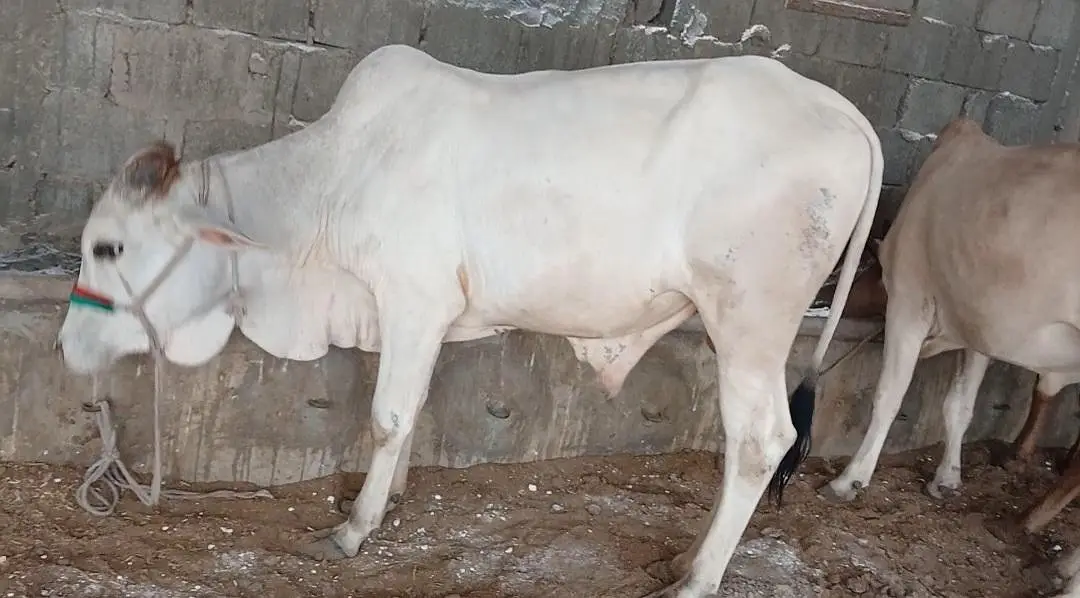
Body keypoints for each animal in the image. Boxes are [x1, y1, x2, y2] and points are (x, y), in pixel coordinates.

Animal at [55, 44, 882, 598]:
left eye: (109, 246)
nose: (65, 345)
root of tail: (844, 112)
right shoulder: (421, 319)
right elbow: (412, 409)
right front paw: (385, 502)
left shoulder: (411, 299)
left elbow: (388, 416)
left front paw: (354, 528)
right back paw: (687, 557)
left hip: (750, 323)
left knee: (761, 441)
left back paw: (699, 577)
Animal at [813, 118, 1080, 507]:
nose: (821, 295)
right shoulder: (978, 327)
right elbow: (960, 404)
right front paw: (948, 478)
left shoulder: (910, 301)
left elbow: (889, 395)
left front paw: (849, 480)